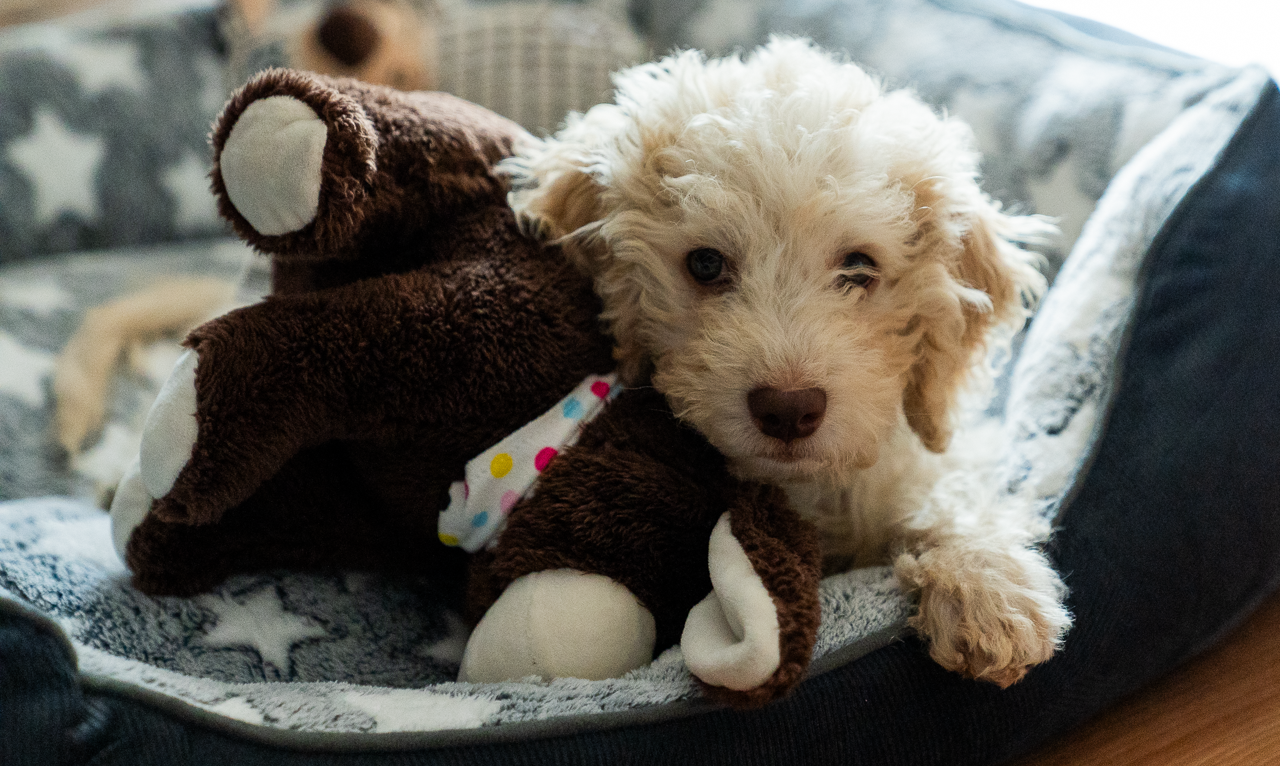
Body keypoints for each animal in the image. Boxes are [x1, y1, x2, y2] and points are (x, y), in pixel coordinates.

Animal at [505, 37, 1071, 687]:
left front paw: (990, 587)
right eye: (705, 264)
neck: (807, 492)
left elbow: (948, 486)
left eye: (858, 268)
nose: (788, 409)